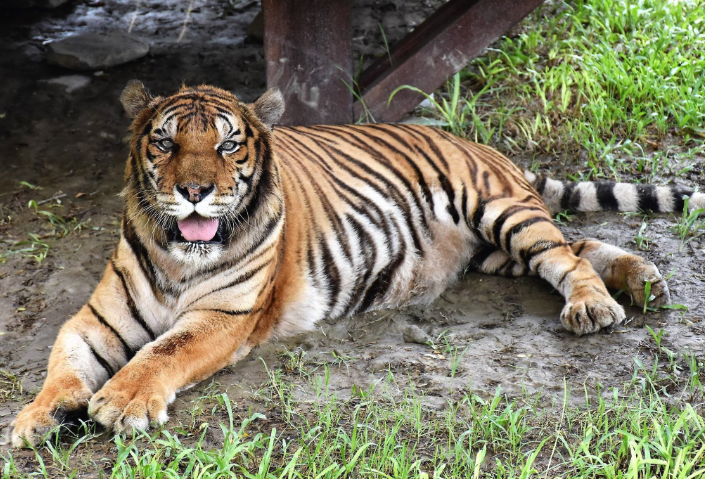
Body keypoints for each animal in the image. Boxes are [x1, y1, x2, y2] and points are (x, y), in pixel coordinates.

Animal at [9, 82, 700, 450]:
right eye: (164, 141)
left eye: (228, 144)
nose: (195, 191)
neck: (178, 256)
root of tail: (478, 143)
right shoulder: (96, 318)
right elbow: (64, 363)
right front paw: (36, 417)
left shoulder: (226, 315)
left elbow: (163, 351)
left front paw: (121, 401)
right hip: (499, 250)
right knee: (574, 248)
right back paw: (642, 280)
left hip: (500, 211)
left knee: (564, 256)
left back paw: (598, 304)